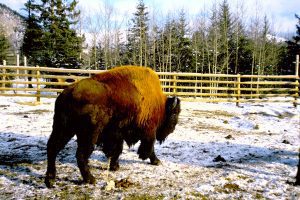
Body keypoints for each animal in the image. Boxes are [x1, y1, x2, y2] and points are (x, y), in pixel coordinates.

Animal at [44, 65, 180, 188]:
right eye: (175, 114)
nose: (173, 129)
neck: (160, 105)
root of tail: (68, 94)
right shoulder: (148, 131)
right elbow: (149, 148)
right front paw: (156, 161)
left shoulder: (117, 133)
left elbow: (117, 150)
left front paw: (114, 166)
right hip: (88, 133)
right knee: (81, 154)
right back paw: (90, 179)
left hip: (63, 128)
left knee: (53, 148)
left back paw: (50, 180)